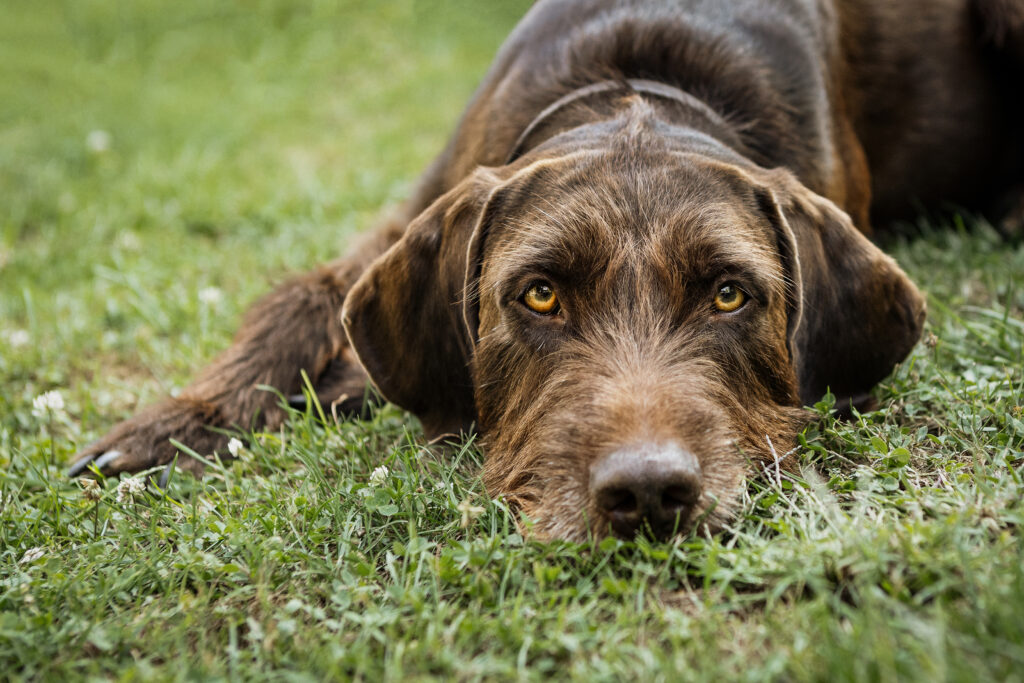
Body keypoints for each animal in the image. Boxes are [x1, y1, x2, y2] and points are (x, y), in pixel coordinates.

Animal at [70, 0, 1024, 540]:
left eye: (729, 293)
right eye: (539, 294)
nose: (648, 492)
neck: (637, 89)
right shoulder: (407, 211)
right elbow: (298, 300)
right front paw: (174, 424)